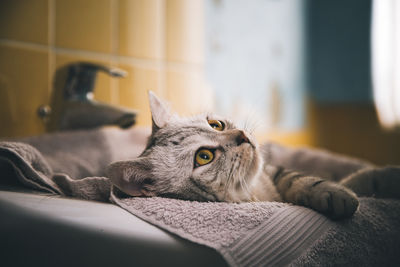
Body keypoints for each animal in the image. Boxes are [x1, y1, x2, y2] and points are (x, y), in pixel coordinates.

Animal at [106, 91, 400, 220]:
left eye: (216, 125)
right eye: (204, 157)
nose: (242, 136)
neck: (256, 190)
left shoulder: (274, 171)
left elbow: (301, 179)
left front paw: (336, 191)